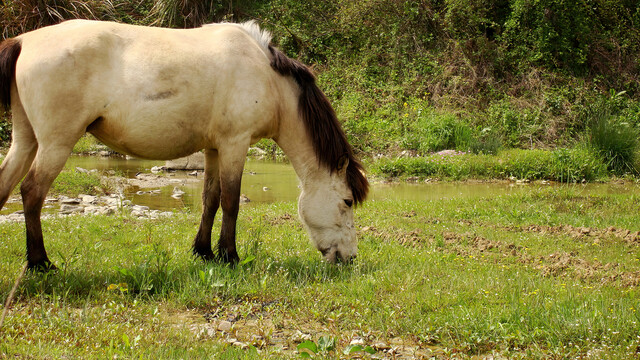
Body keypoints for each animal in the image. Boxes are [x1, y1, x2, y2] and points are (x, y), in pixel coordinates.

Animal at [0, 19, 368, 270]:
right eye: (347, 201)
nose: (350, 257)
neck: (267, 77)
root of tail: (25, 39)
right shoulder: (235, 144)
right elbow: (231, 201)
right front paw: (230, 256)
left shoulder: (214, 148)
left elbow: (210, 199)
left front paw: (204, 251)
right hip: (56, 144)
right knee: (31, 192)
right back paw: (40, 263)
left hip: (26, 141)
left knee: (7, 185)